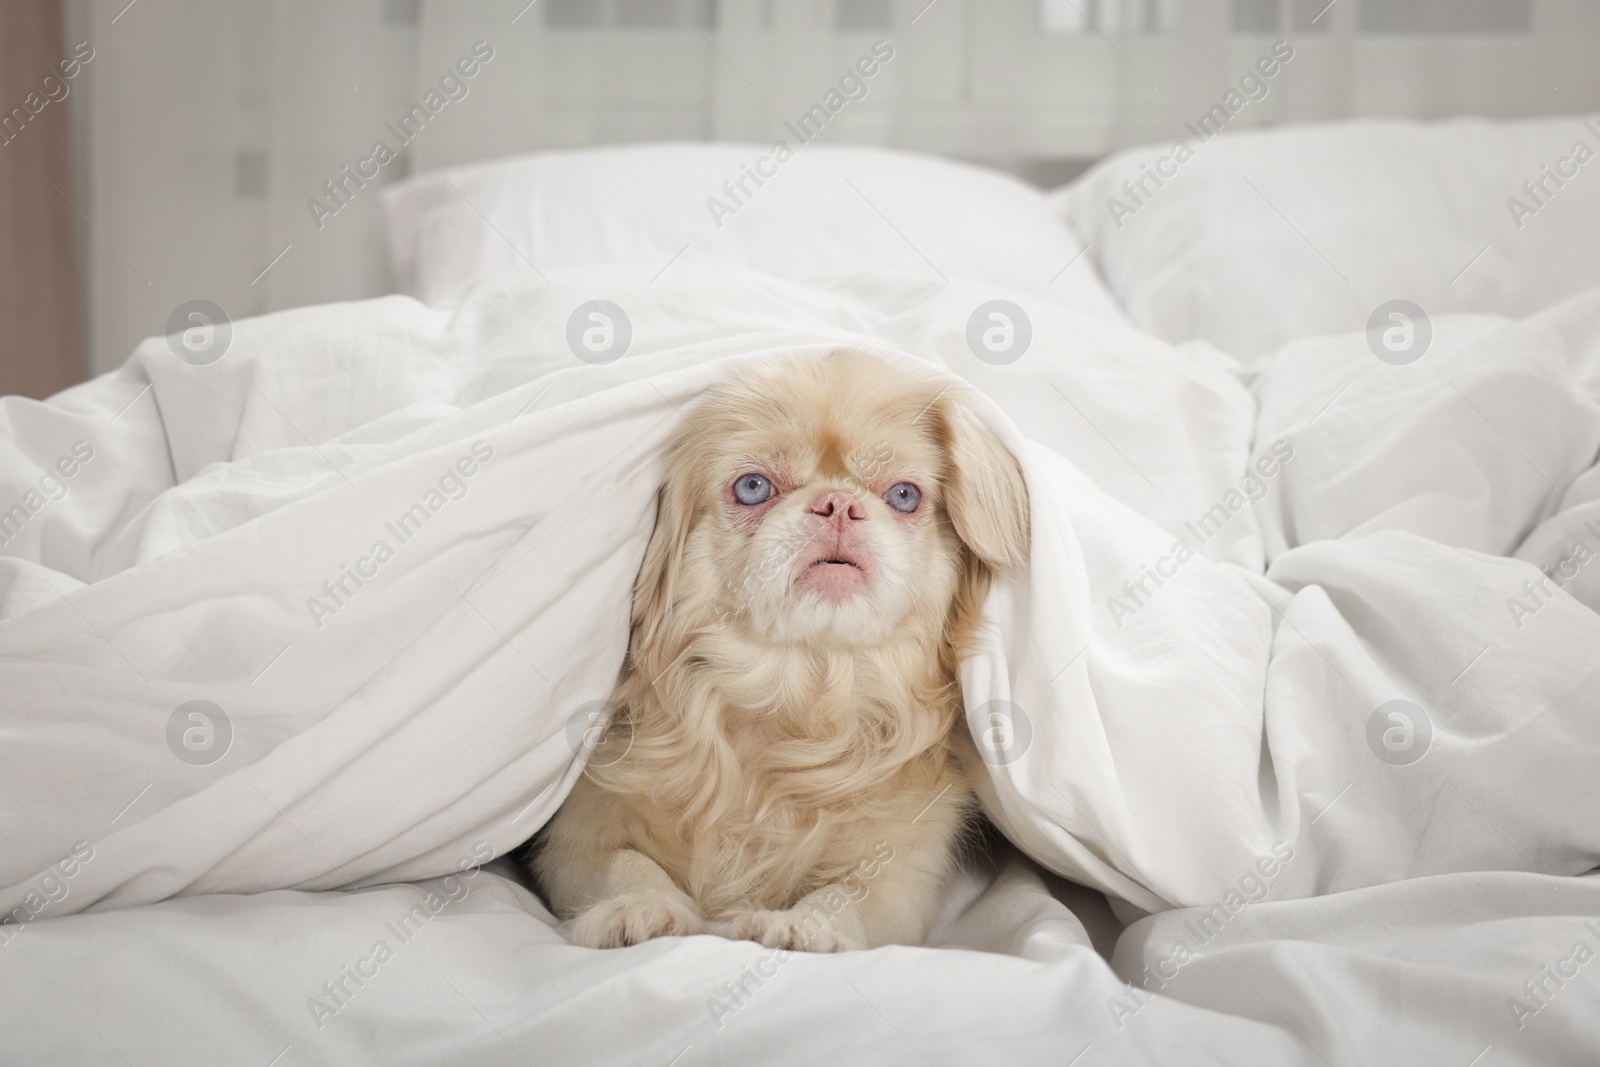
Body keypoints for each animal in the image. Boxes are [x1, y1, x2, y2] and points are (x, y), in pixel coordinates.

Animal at [531, 350, 1030, 953]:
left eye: (904, 496)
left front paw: (805, 927)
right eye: (752, 487)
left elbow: (846, 896)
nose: (838, 503)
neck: (799, 689)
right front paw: (640, 908)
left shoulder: (901, 874)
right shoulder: (577, 836)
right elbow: (623, 863)